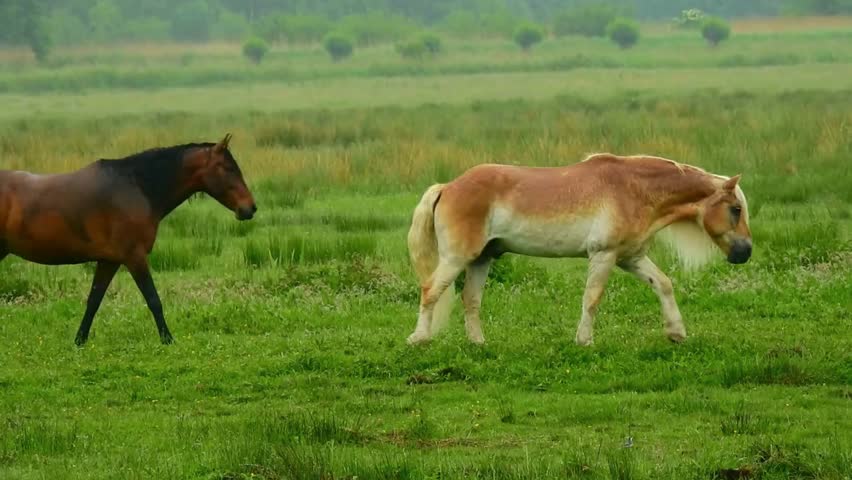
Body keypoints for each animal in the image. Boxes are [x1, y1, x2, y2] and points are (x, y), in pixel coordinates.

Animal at [0, 134, 256, 346]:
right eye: (228, 168)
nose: (250, 208)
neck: (137, 187)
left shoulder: (109, 261)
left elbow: (93, 301)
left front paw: (79, 341)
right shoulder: (135, 257)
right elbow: (153, 299)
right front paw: (168, 340)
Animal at [406, 153, 752, 347]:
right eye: (735, 209)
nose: (745, 252)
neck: (633, 189)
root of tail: (447, 187)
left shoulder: (630, 258)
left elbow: (663, 284)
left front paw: (676, 333)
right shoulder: (604, 255)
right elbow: (592, 298)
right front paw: (584, 340)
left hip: (481, 259)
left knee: (471, 300)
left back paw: (479, 343)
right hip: (457, 258)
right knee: (430, 290)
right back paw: (419, 339)